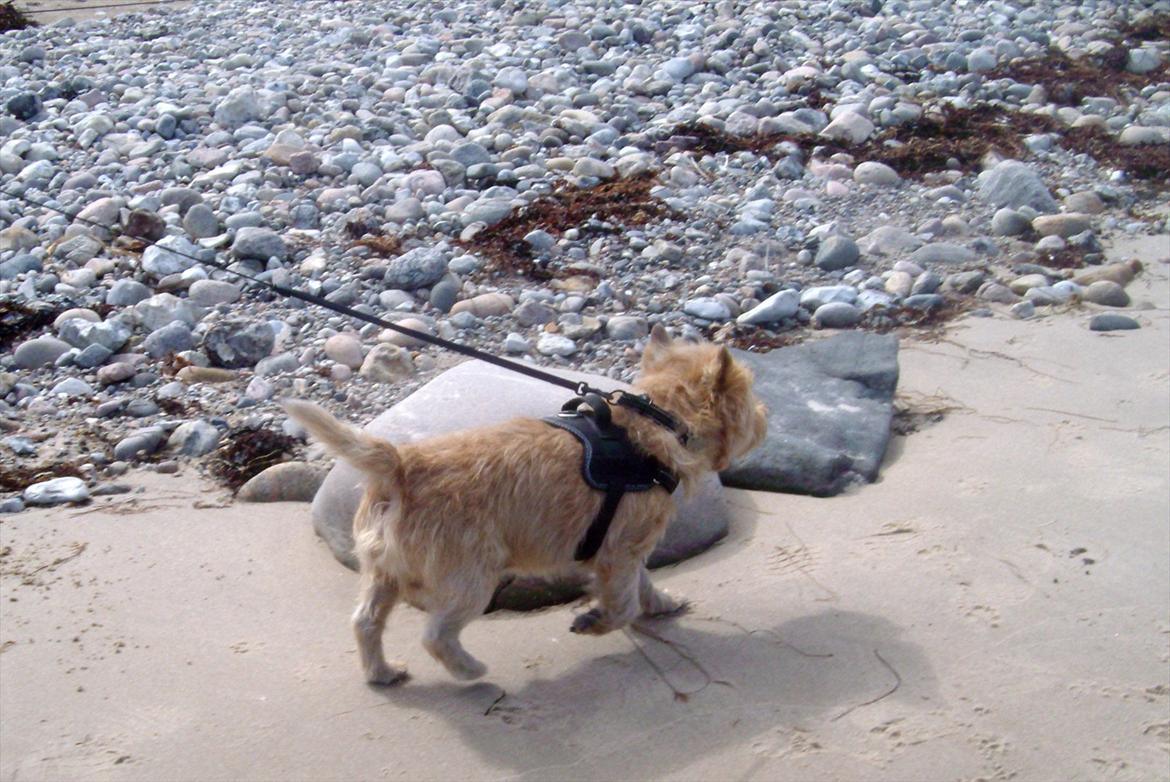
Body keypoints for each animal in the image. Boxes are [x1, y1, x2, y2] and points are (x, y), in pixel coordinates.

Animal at [285, 327, 767, 688]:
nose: (765, 415)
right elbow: (623, 604)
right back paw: (469, 670)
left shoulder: (627, 550)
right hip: (472, 579)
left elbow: (642, 586)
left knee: (366, 621)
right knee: (436, 635)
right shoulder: (620, 552)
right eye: (750, 396)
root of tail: (403, 464)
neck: (659, 420)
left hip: (383, 573)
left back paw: (381, 672)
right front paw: (596, 620)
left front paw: (662, 603)